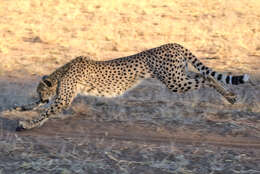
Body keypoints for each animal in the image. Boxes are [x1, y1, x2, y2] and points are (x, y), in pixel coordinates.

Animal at [10, 43, 250, 130]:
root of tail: (175, 44)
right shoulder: (59, 98)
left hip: (175, 81)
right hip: (179, 75)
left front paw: (27, 124)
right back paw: (230, 97)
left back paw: (230, 97)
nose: (43, 97)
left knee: (208, 78)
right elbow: (34, 106)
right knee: (203, 74)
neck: (61, 72)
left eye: (41, 90)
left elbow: (45, 112)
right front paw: (17, 109)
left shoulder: (63, 100)